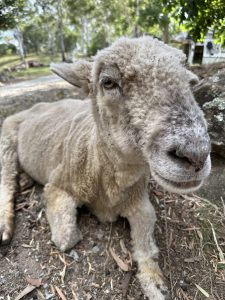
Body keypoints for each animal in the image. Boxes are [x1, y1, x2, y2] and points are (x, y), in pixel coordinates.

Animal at [0, 36, 211, 298]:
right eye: (108, 82)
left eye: (190, 82)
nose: (196, 154)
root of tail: (37, 105)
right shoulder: (57, 185)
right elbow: (66, 238)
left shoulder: (140, 202)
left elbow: (147, 245)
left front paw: (154, 282)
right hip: (7, 138)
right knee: (6, 180)